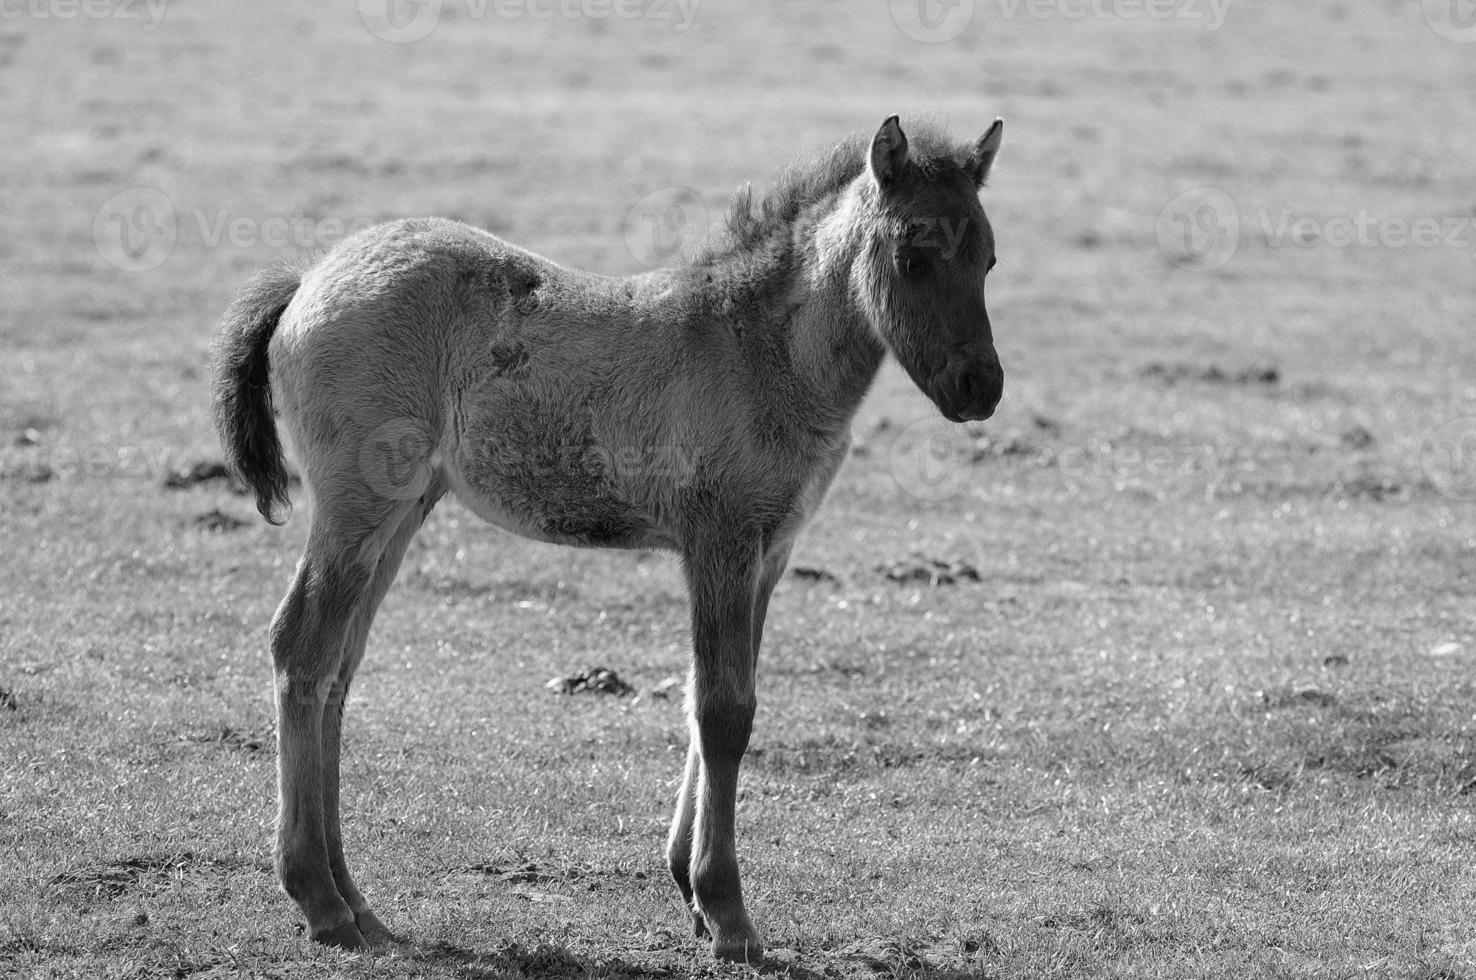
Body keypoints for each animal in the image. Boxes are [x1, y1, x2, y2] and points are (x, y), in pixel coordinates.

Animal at [211, 112, 1003, 956]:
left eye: (988, 258)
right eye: (912, 256)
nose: (980, 388)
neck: (762, 352)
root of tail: (307, 280)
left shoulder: (769, 553)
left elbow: (711, 699)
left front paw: (689, 886)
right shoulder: (720, 542)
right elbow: (725, 712)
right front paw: (726, 912)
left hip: (402, 510)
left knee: (339, 666)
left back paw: (358, 905)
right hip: (356, 504)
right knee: (302, 647)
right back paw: (319, 899)